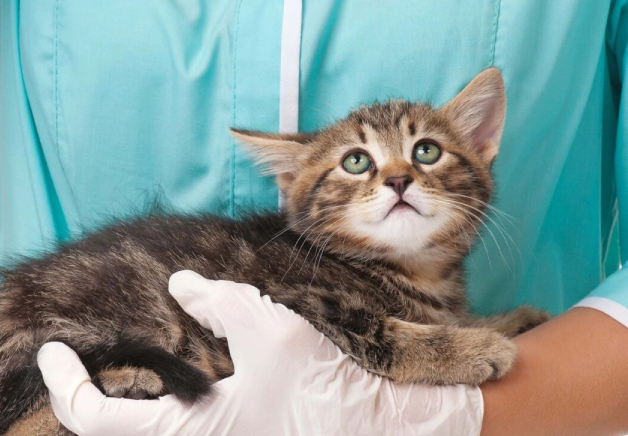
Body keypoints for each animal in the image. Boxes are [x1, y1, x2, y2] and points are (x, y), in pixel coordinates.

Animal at [0, 70, 548, 434]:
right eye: (356, 161)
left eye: (427, 151)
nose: (398, 180)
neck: (413, 270)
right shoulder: (291, 299)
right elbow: (384, 333)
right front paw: (475, 348)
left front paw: (508, 321)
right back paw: (127, 381)